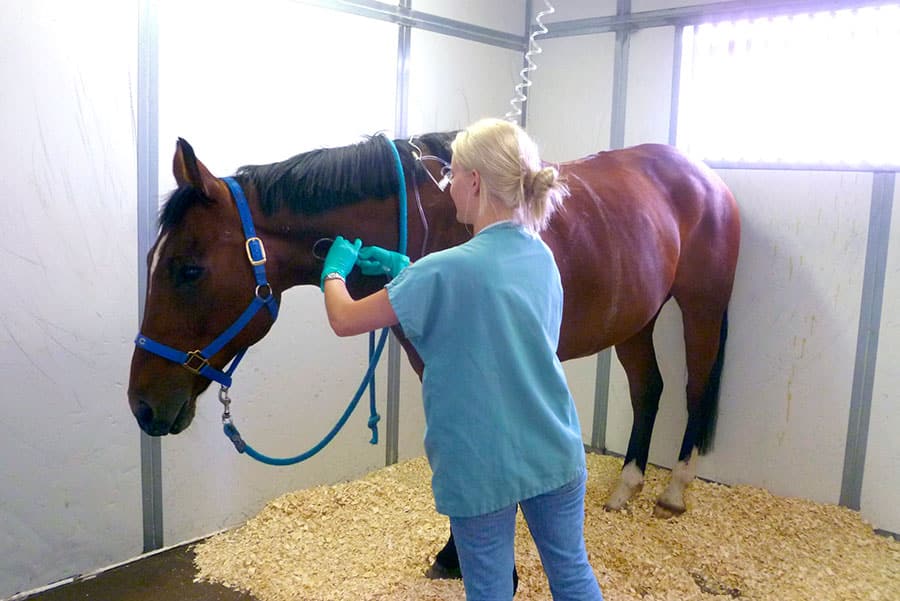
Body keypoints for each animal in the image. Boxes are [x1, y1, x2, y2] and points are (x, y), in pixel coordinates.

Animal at [128, 131, 740, 580]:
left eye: (188, 270)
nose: (142, 405)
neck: (438, 222)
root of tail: (704, 175)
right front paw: (457, 555)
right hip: (637, 318)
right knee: (648, 390)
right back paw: (625, 489)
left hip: (701, 309)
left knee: (693, 388)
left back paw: (675, 491)